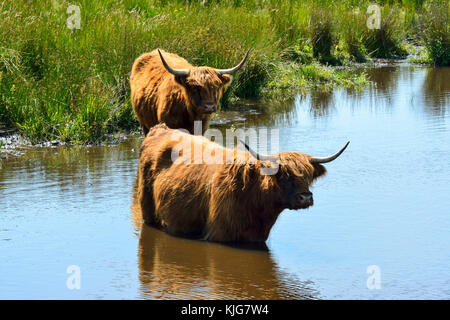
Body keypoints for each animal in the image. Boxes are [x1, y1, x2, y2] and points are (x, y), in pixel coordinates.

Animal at [136, 124, 348, 242]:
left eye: (309, 176)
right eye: (284, 175)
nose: (305, 198)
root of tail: (160, 129)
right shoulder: (220, 234)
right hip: (147, 210)